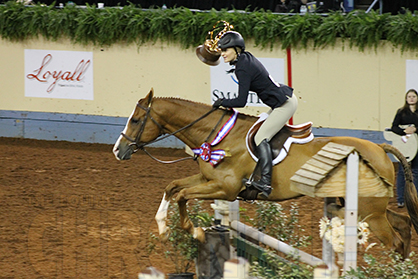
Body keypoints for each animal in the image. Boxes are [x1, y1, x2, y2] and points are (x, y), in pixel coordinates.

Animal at [112, 88, 418, 260]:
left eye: (136, 120)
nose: (118, 150)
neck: (217, 135)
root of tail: (379, 148)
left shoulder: (226, 188)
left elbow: (183, 195)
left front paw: (194, 231)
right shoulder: (209, 181)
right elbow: (173, 186)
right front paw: (163, 227)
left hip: (368, 212)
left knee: (393, 238)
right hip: (366, 208)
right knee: (403, 223)